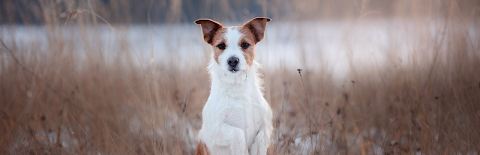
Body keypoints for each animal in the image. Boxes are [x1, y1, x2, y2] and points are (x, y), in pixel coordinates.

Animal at [193, 17, 272, 155]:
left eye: (245, 44)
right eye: (221, 45)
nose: (233, 60)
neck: (238, 86)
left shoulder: (266, 125)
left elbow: (262, 138)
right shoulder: (215, 129)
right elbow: (237, 133)